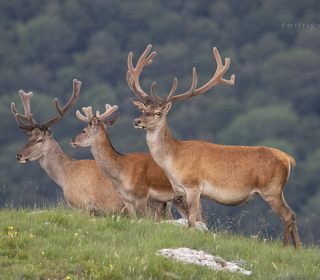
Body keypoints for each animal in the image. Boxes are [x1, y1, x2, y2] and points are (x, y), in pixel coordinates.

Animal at [69, 103, 206, 223]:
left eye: (84, 130)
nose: (72, 140)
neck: (121, 172)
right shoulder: (126, 199)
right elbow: (133, 218)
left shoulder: (141, 194)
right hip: (177, 198)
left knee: (201, 218)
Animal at [127, 44, 300, 248]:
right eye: (143, 110)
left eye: (158, 113)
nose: (137, 121)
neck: (174, 160)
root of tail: (288, 158)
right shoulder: (183, 191)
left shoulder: (193, 186)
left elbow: (192, 220)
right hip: (276, 190)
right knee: (292, 215)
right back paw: (298, 249)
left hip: (271, 189)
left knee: (288, 216)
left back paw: (287, 248)